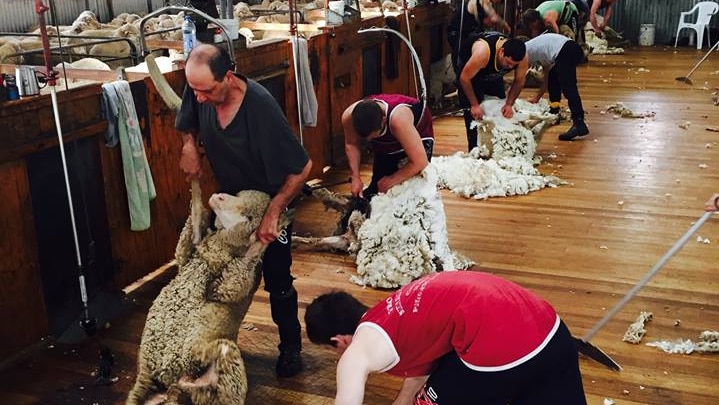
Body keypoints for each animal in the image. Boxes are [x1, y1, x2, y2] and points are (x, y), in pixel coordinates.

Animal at [127, 189, 292, 404]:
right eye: (238, 194)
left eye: (249, 217)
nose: (218, 196)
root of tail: (169, 384)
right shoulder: (186, 257)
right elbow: (184, 242)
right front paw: (196, 203)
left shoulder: (228, 285)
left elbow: (242, 267)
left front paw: (267, 236)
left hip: (216, 360)